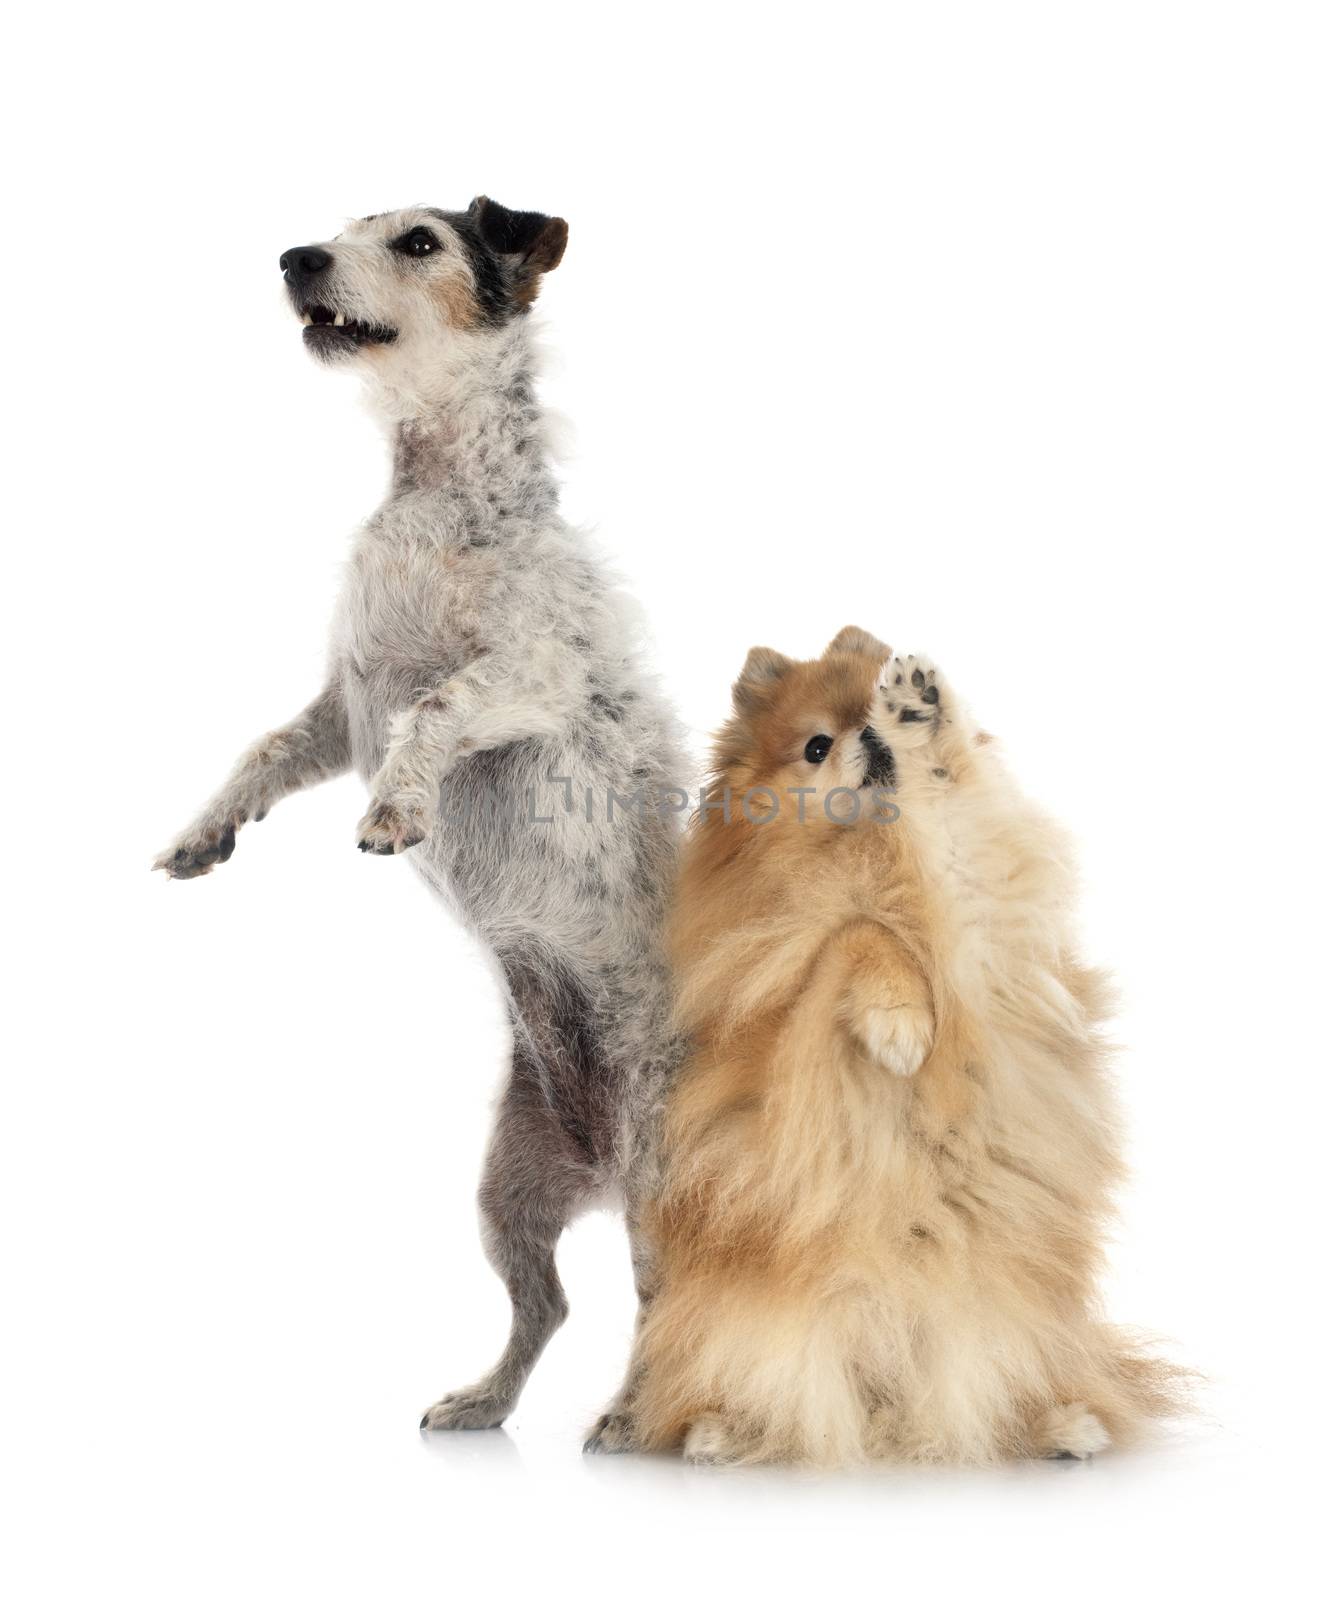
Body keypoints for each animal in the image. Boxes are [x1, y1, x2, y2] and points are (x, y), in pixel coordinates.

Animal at [614, 620, 1177, 1465]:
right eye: (815, 746)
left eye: (866, 717)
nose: (873, 737)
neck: (878, 858)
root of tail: (889, 1411)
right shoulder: (780, 1020)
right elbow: (851, 933)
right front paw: (899, 1024)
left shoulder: (984, 943)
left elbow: (949, 815)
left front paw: (921, 713)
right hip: (735, 1326)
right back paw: (721, 1432)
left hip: (1012, 1325)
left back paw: (1059, 1425)